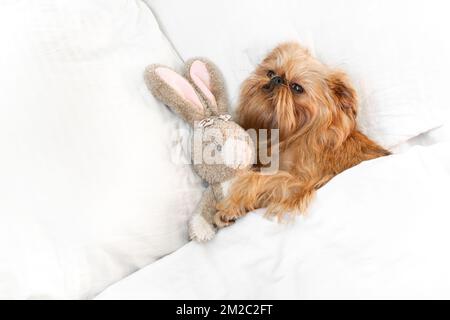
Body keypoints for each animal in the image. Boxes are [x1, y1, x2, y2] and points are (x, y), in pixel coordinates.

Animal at [214, 42, 390, 226]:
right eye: (270, 73)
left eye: (297, 88)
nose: (276, 79)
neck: (295, 135)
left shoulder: (300, 185)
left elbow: (256, 178)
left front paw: (230, 207)